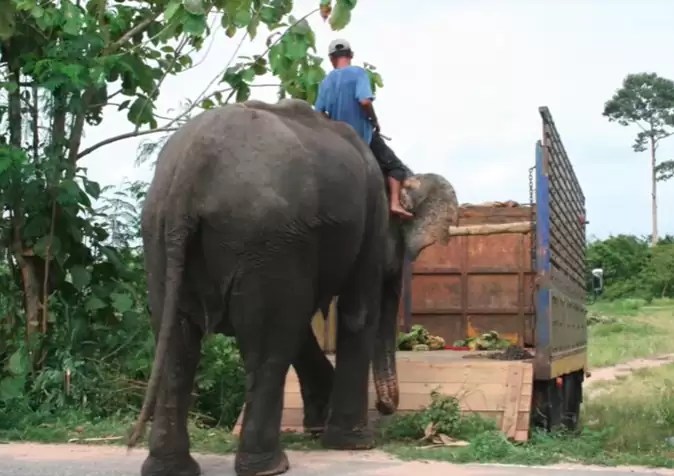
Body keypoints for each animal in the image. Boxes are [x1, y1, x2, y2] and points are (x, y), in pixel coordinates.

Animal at [126, 97, 456, 476]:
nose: (388, 408)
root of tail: (190, 169)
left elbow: (302, 322)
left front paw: (319, 426)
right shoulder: (368, 223)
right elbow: (356, 312)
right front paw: (354, 442)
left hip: (162, 237)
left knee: (178, 344)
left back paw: (171, 468)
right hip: (265, 238)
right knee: (267, 347)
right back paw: (270, 466)